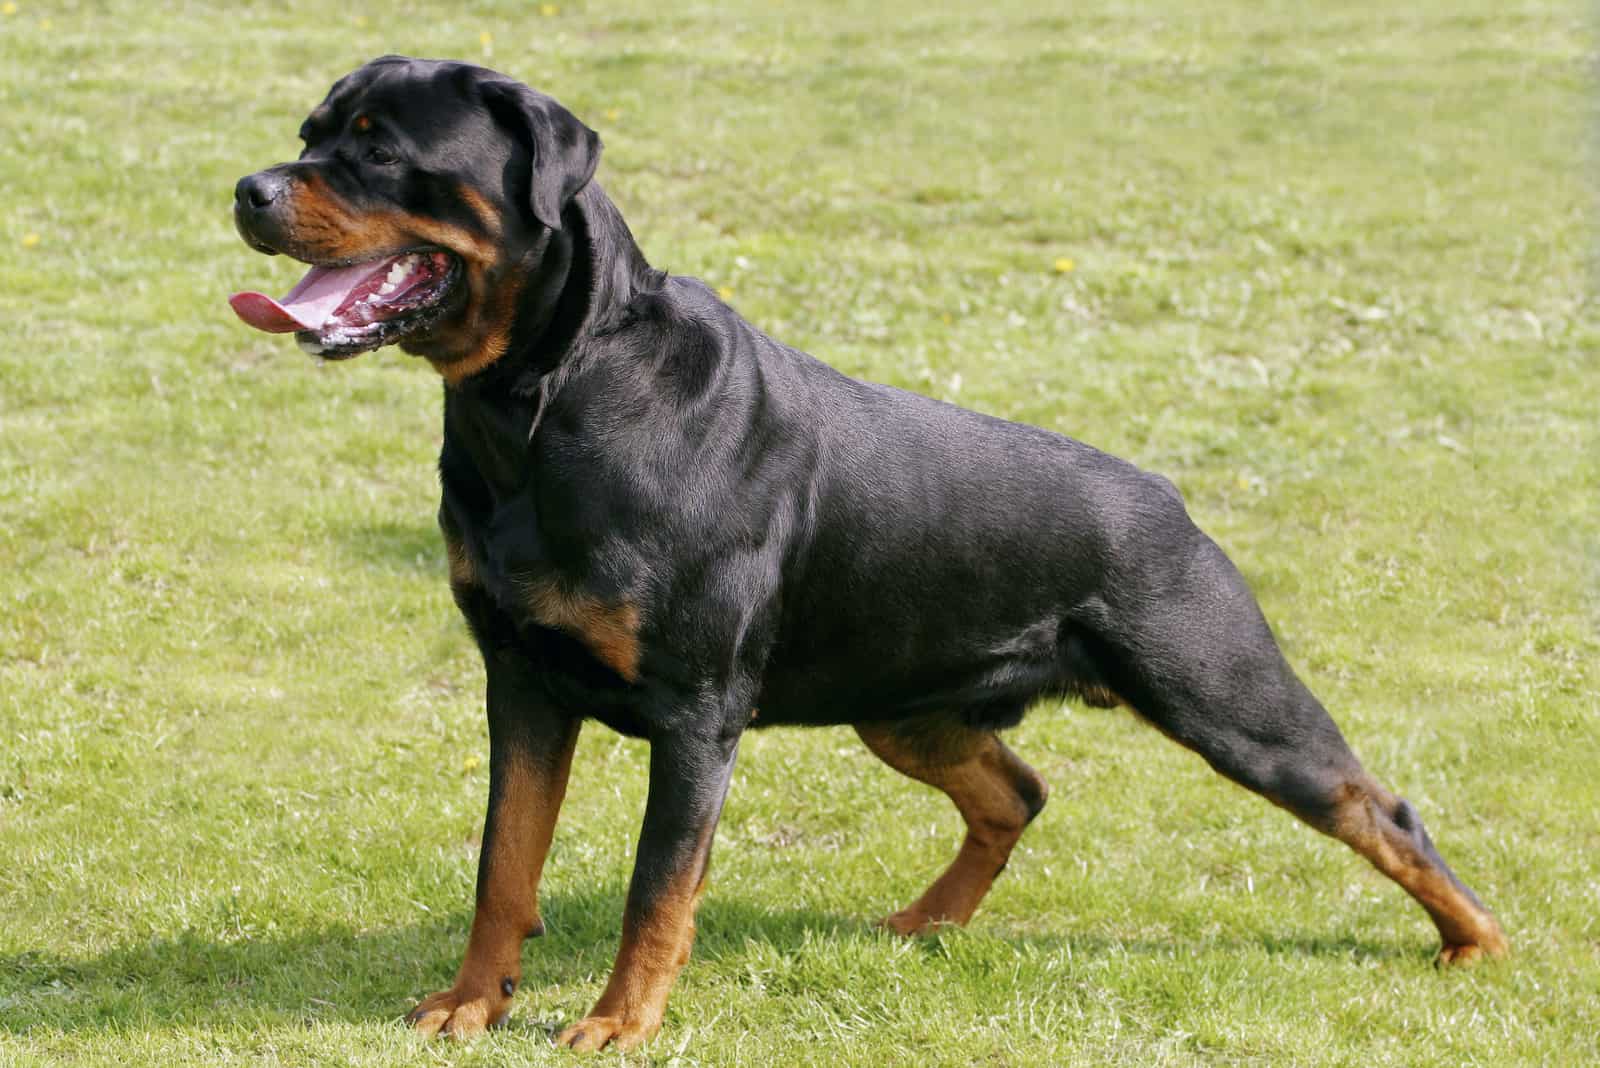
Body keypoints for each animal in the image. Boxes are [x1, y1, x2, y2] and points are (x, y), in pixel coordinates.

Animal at [228, 56, 1510, 1048]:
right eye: (307, 135)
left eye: (379, 149)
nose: (246, 188)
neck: (545, 394)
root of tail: (1170, 499)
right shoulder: (521, 680)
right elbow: (504, 861)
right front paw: (470, 1000)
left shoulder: (694, 713)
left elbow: (657, 888)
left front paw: (617, 1023)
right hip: (907, 706)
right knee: (1016, 791)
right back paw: (928, 922)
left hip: (1227, 698)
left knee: (1379, 808)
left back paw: (1477, 944)